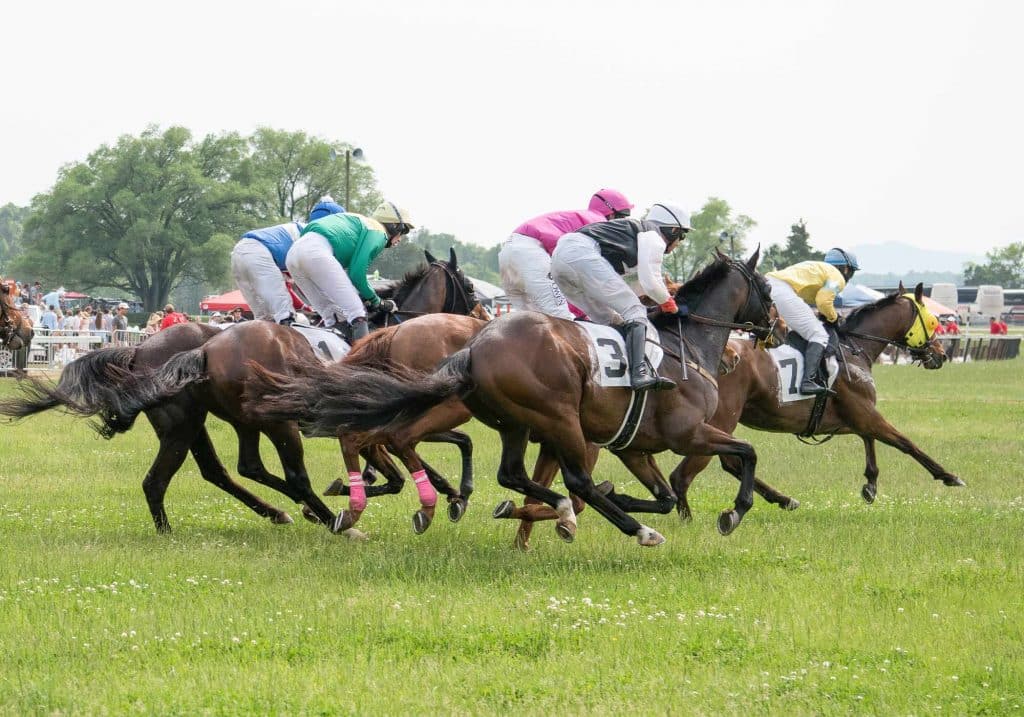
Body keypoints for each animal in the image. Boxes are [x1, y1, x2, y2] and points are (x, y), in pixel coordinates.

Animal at [0, 248, 479, 528]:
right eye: (471, 288)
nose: (478, 319)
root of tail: (140, 350)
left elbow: (418, 459)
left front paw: (448, 494)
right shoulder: (374, 424)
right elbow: (404, 467)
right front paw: (445, 495)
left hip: (206, 422)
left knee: (225, 470)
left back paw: (282, 512)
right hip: (214, 424)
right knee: (218, 476)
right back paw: (321, 517)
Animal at [245, 248, 774, 544]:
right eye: (767, 287)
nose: (770, 328)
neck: (687, 346)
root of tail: (476, 346)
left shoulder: (634, 447)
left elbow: (662, 495)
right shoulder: (686, 434)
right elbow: (746, 451)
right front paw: (734, 511)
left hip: (515, 421)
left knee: (500, 469)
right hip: (555, 416)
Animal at [667, 280, 962, 516]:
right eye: (933, 321)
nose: (940, 354)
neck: (854, 348)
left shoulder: (853, 418)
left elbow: (869, 439)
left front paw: (870, 483)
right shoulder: (865, 413)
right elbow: (906, 443)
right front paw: (949, 476)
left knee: (730, 462)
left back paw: (784, 499)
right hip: (718, 421)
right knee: (687, 474)